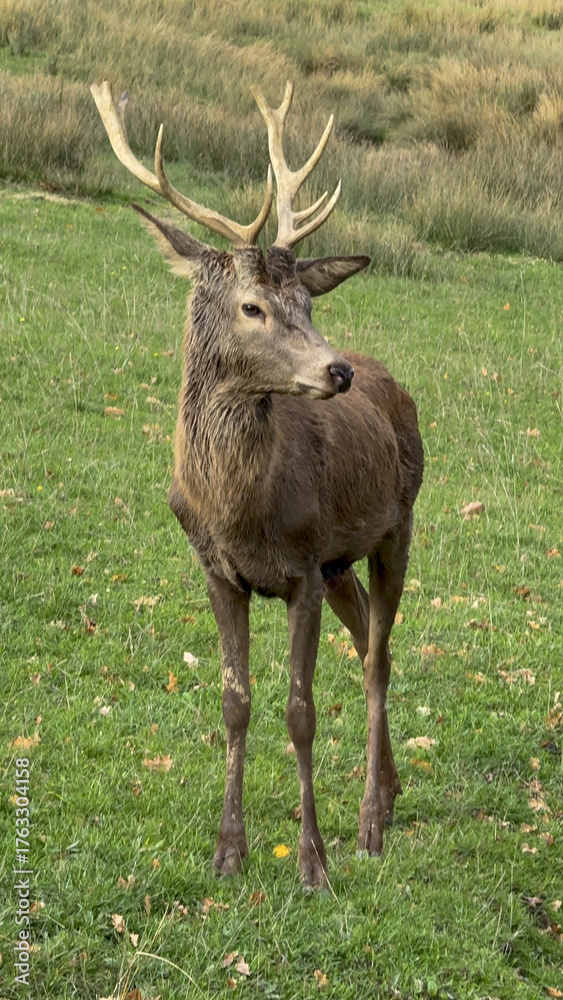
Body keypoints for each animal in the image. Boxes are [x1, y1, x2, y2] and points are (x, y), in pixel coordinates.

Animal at [91, 79, 424, 888]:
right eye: (252, 306)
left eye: (307, 302)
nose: (337, 371)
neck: (240, 509)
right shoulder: (220, 570)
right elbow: (235, 703)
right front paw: (228, 852)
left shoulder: (301, 567)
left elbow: (300, 712)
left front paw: (312, 863)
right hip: (341, 562)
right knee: (368, 638)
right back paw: (391, 791)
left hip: (397, 525)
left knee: (377, 657)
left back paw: (370, 823)